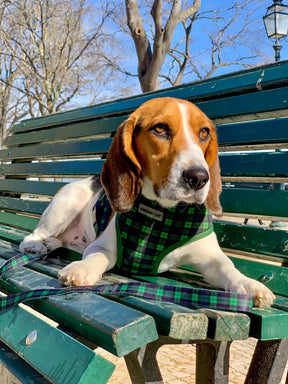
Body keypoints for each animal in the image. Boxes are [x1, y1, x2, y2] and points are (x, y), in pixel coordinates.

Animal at [19, 97, 274, 308]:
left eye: (203, 132)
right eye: (160, 129)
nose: (199, 178)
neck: (163, 213)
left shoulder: (210, 257)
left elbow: (227, 266)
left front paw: (248, 283)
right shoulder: (103, 246)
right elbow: (97, 255)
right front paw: (82, 269)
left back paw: (52, 244)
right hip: (68, 201)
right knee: (34, 235)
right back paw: (36, 245)